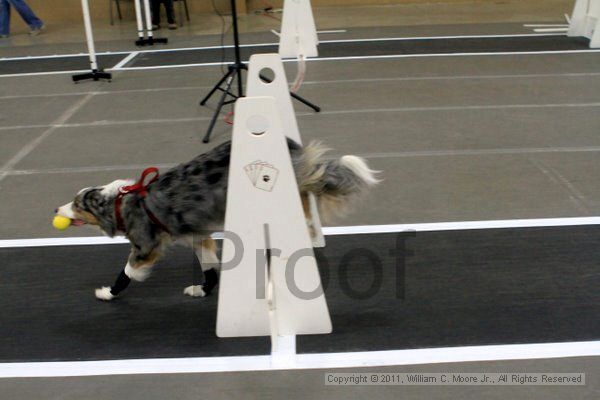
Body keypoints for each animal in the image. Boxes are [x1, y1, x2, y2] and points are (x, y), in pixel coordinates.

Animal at [52, 139, 380, 302]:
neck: (122, 203)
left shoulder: (146, 247)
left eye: (78, 205)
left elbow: (127, 272)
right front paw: (203, 290)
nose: (57, 209)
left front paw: (108, 293)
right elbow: (209, 267)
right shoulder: (199, 236)